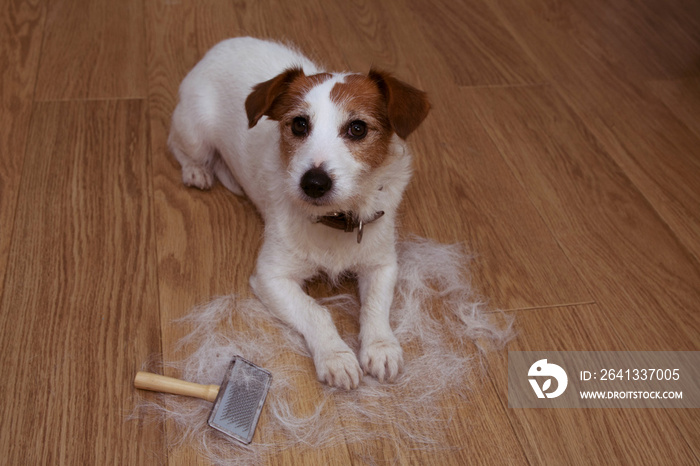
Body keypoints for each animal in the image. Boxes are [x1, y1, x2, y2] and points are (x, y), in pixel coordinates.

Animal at [170, 37, 432, 390]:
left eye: (358, 128)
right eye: (299, 124)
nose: (314, 183)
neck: (334, 220)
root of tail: (222, 45)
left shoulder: (382, 265)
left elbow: (376, 306)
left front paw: (381, 346)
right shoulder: (271, 277)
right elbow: (315, 311)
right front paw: (336, 356)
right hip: (194, 133)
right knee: (178, 146)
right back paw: (197, 171)